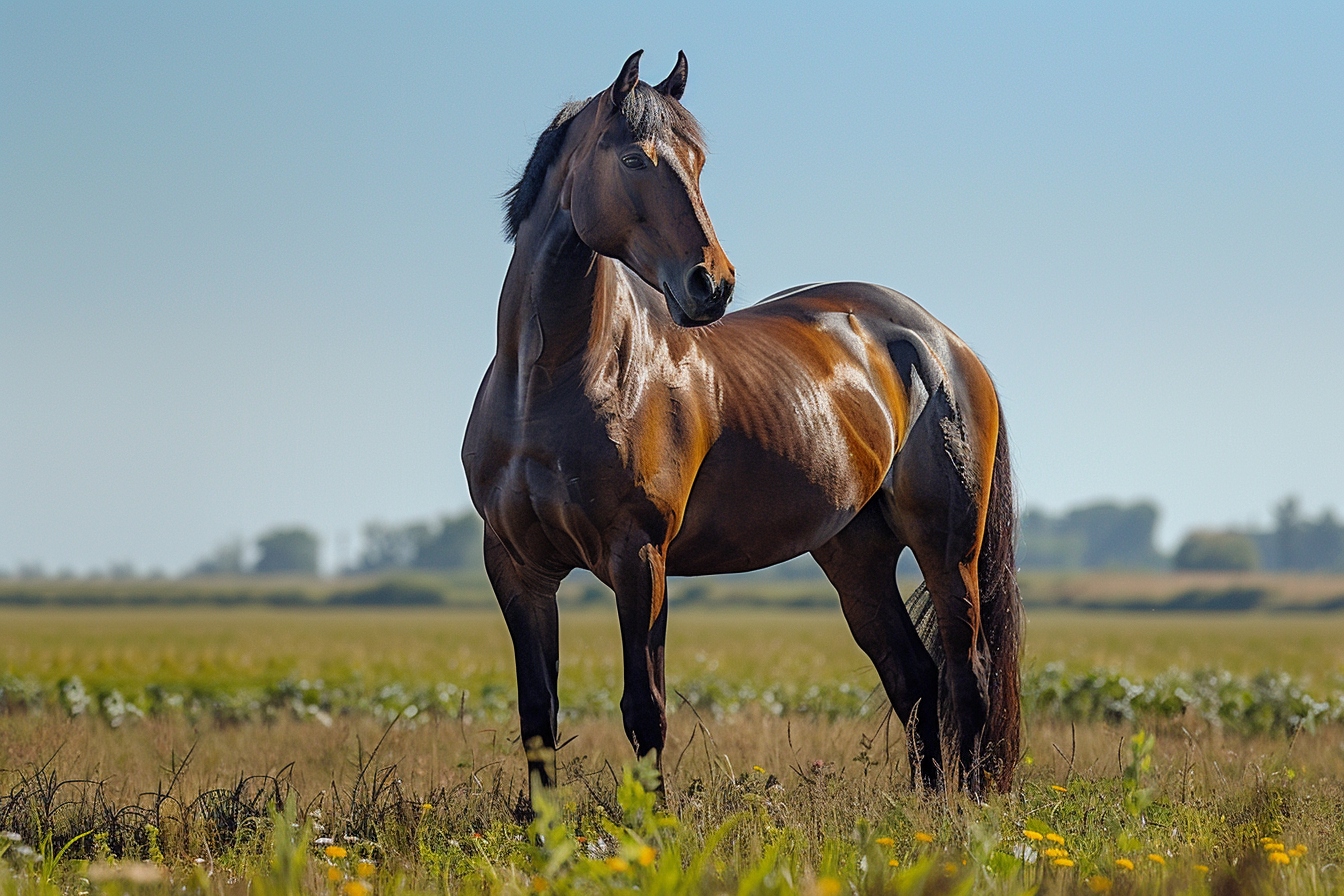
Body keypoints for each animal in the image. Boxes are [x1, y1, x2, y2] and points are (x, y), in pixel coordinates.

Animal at [462, 50, 1022, 798]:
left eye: (698, 163)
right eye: (634, 159)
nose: (713, 284)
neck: (544, 384)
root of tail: (945, 345)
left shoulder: (640, 558)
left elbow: (645, 709)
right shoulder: (518, 568)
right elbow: (537, 715)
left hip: (947, 548)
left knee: (969, 679)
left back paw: (969, 809)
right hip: (856, 556)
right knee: (915, 679)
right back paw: (928, 808)